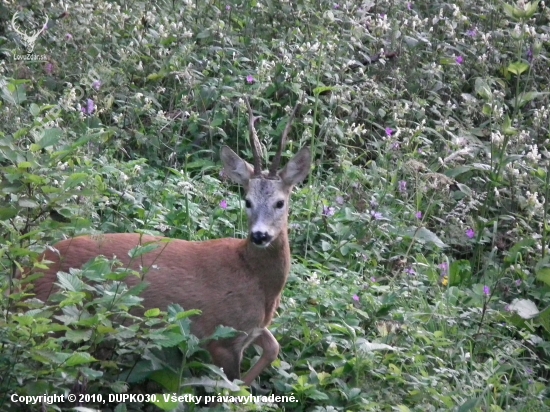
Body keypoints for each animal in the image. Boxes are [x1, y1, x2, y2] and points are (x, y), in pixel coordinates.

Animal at [32, 99, 312, 386]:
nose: (259, 235)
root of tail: (28, 269)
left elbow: (273, 348)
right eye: (247, 201)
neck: (256, 280)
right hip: (52, 313)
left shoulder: (253, 329)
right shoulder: (223, 335)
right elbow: (231, 388)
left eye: (280, 202)